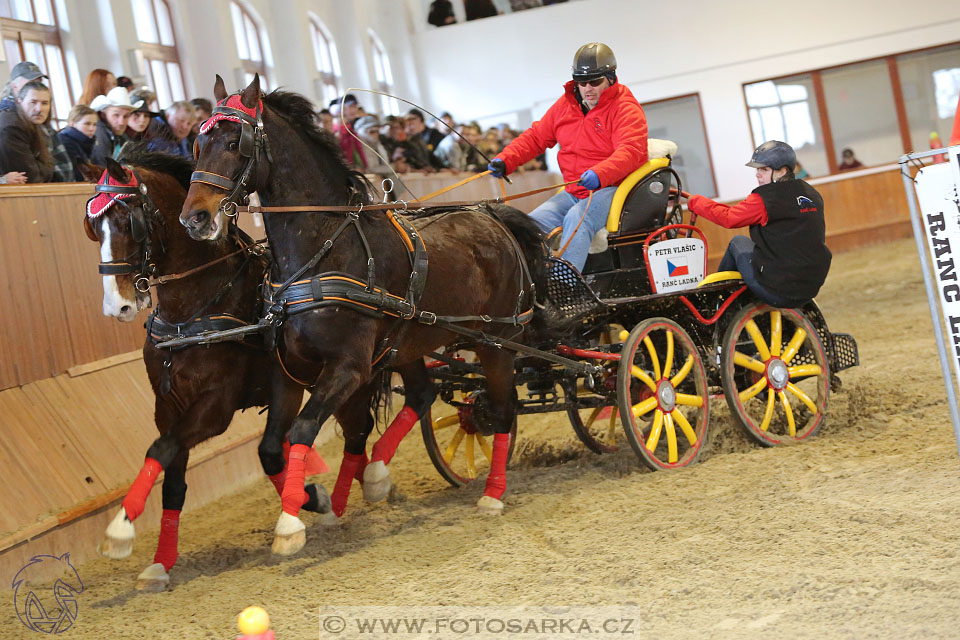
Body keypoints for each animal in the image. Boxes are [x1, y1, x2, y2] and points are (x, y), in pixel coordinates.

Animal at [87, 150, 334, 592]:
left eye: (127, 221)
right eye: (93, 227)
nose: (117, 306)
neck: (192, 313)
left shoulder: (217, 406)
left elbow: (161, 450)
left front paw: (120, 529)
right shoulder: (167, 405)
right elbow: (172, 478)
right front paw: (160, 562)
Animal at [180, 76, 548, 556]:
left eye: (232, 142)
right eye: (196, 144)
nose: (195, 218)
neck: (325, 249)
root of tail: (492, 215)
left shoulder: (349, 368)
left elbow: (302, 430)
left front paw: (291, 524)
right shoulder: (288, 370)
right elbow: (271, 447)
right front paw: (316, 502)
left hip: (496, 342)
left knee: (503, 411)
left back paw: (492, 494)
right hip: (407, 343)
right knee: (423, 395)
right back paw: (375, 477)